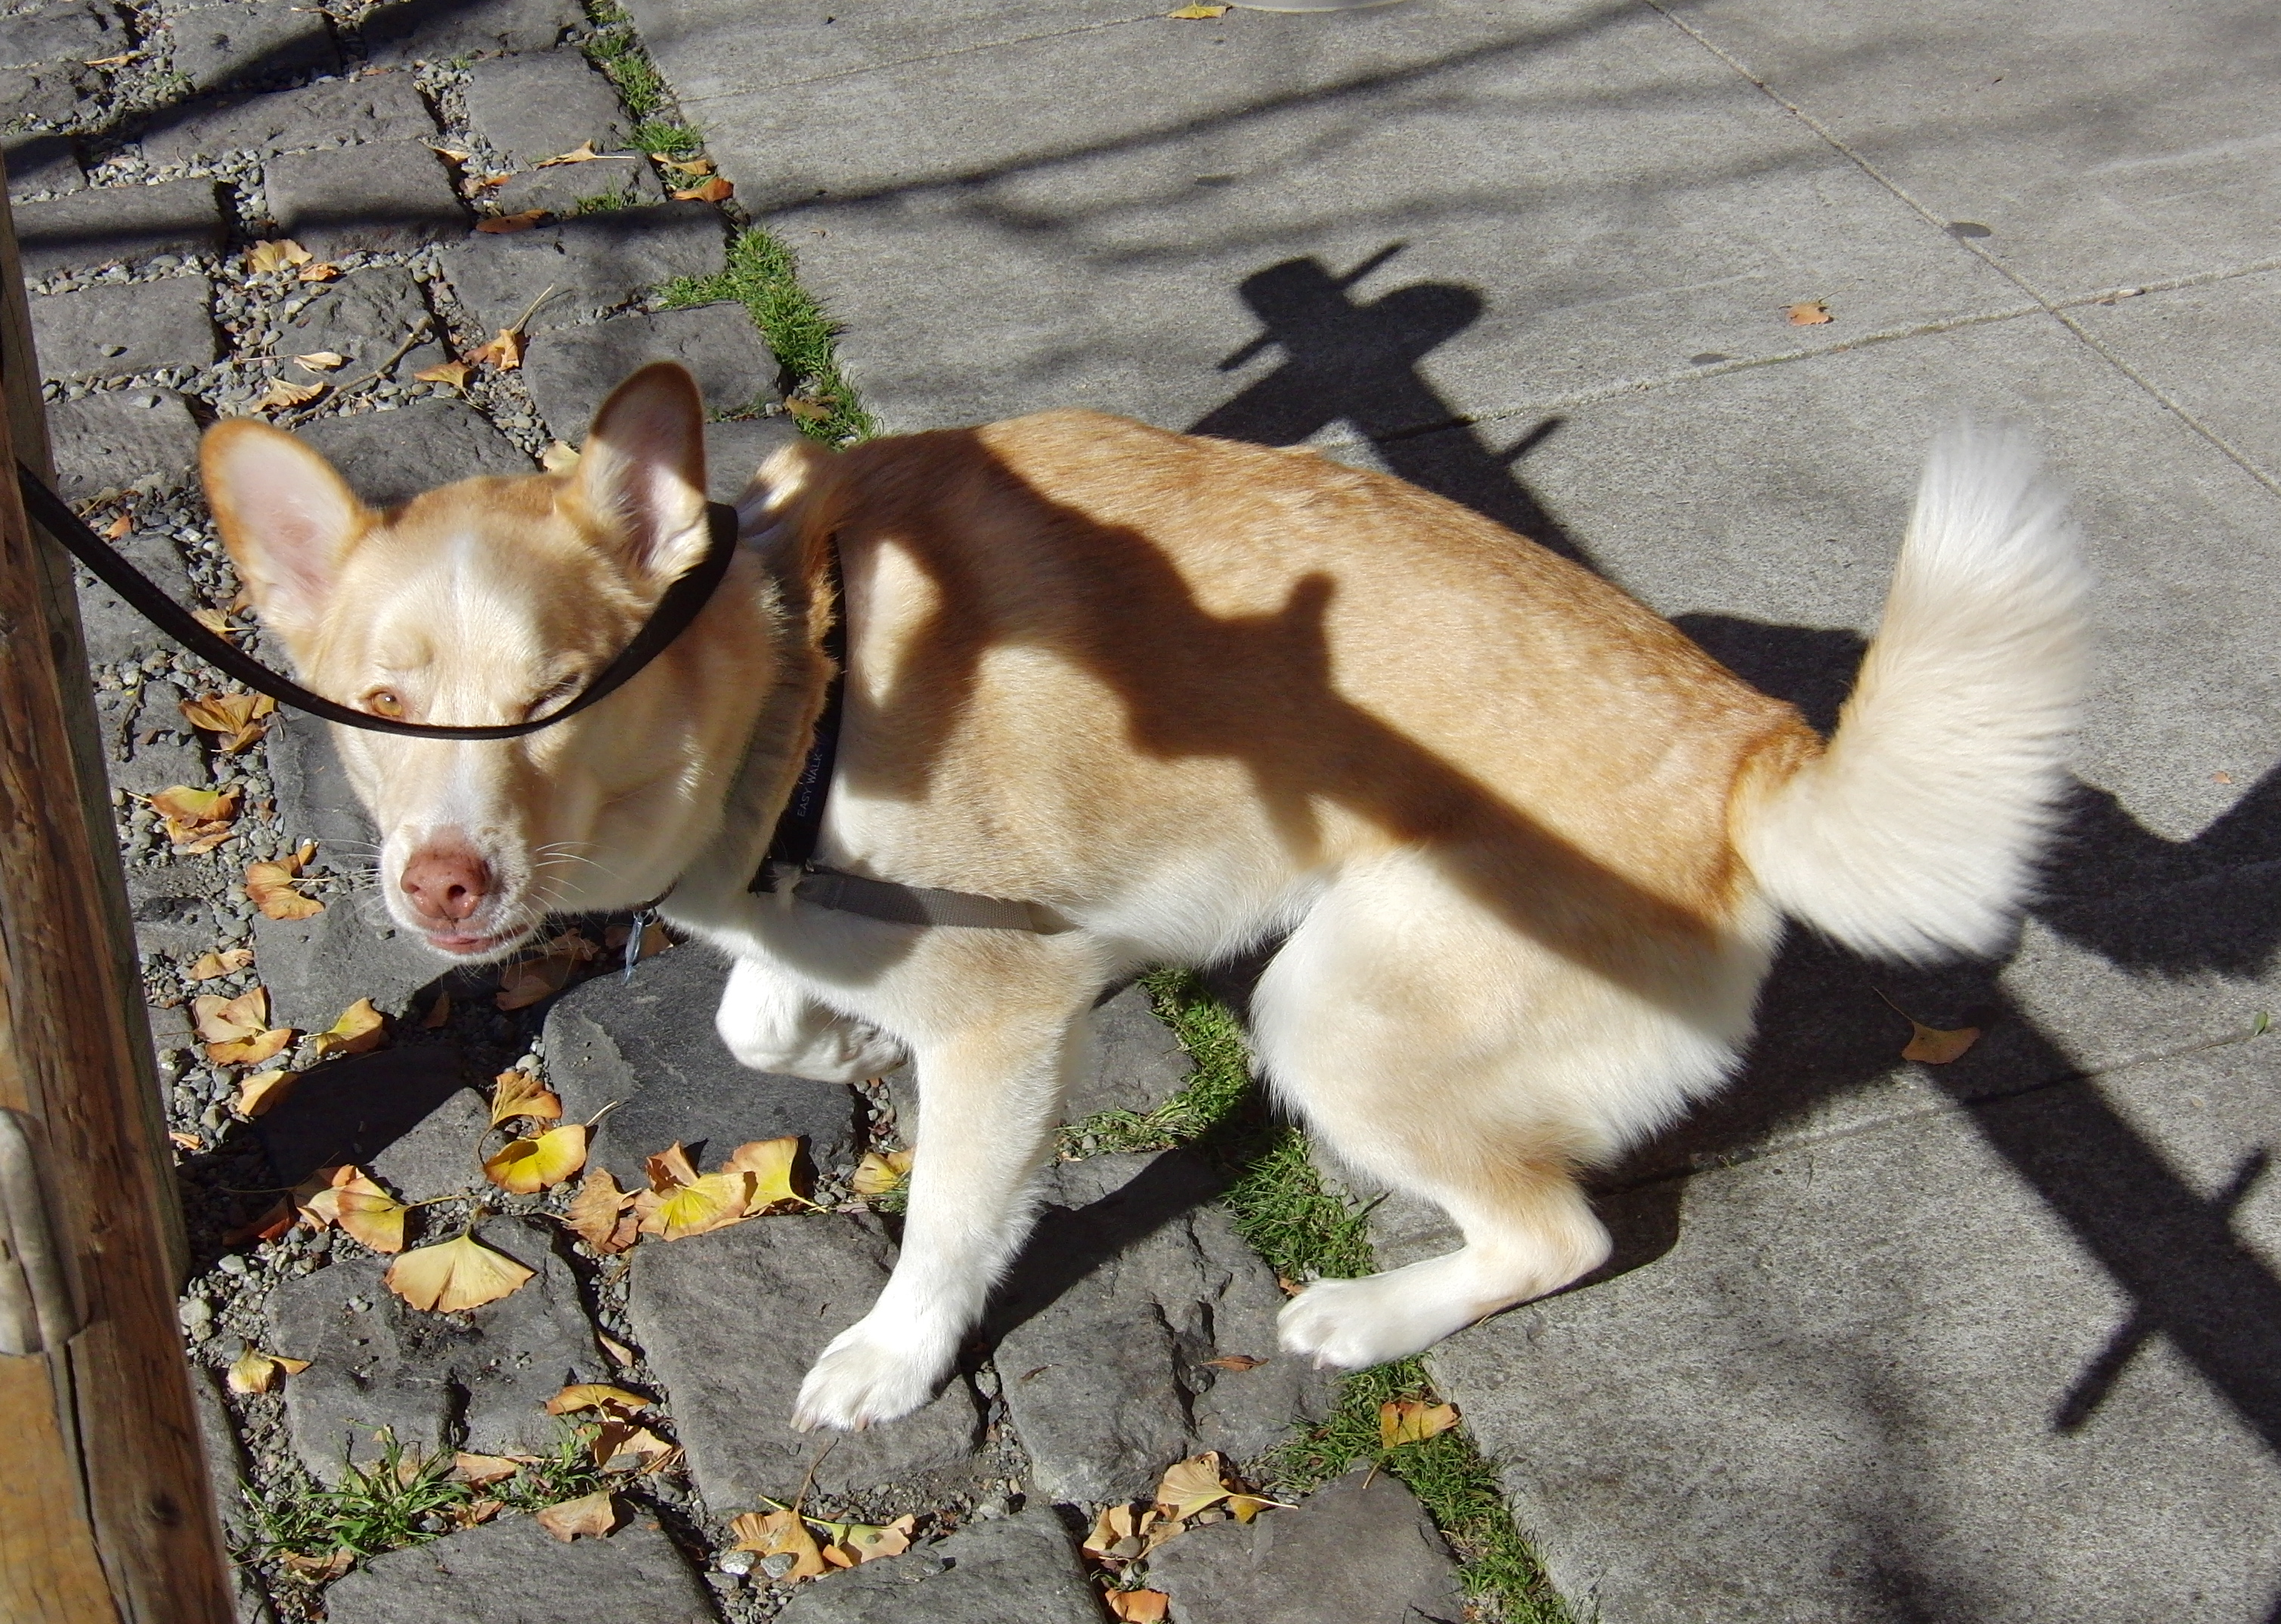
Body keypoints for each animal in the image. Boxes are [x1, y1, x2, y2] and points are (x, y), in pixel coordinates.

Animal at [209, 364, 2089, 1432]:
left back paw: (1364, 1316)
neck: (807, 675)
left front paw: (892, 1361)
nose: (445, 879)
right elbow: (755, 1015)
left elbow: (950, 1223)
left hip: (1328, 1015)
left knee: (1558, 1237)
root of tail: (1747, 750)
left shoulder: (1001, 1026)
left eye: (564, 693)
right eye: (382, 707)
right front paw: (830, 1045)